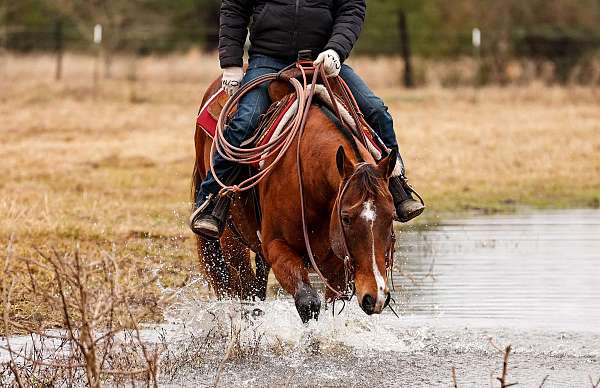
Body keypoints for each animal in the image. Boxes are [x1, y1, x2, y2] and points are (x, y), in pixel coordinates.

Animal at [192, 69, 398, 322]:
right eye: (346, 218)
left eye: (391, 216)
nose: (375, 296)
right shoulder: (277, 248)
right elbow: (308, 303)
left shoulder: (339, 266)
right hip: (231, 242)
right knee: (245, 291)